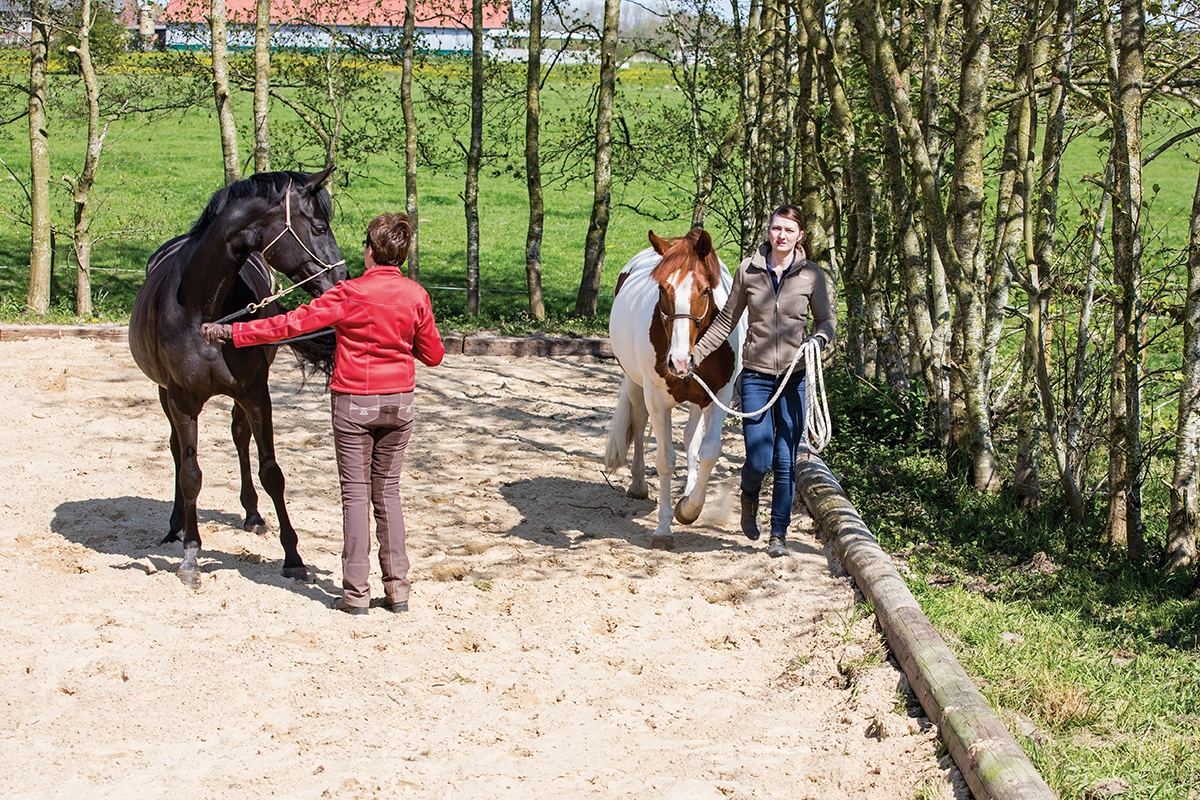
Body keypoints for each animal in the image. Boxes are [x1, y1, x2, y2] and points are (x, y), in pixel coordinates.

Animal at [128, 168, 347, 587]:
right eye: (319, 226)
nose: (341, 279)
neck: (201, 306)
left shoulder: (255, 392)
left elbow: (271, 471)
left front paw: (293, 557)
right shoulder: (181, 400)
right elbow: (191, 474)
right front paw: (190, 556)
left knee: (239, 437)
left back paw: (252, 514)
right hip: (164, 394)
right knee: (177, 452)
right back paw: (176, 525)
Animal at [604, 228, 745, 550]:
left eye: (705, 290)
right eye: (662, 289)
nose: (679, 361)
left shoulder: (719, 395)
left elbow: (708, 451)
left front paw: (689, 508)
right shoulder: (656, 399)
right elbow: (665, 460)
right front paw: (663, 528)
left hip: (697, 399)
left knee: (691, 438)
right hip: (636, 384)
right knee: (639, 424)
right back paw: (638, 484)